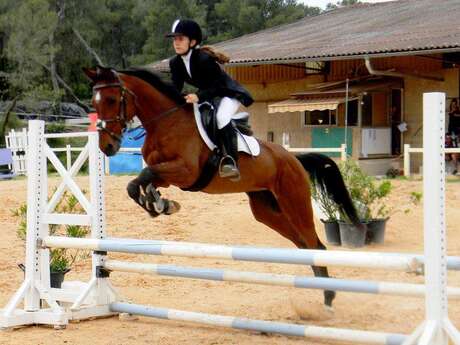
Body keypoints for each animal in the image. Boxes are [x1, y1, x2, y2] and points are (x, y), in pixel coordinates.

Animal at [83, 66, 362, 308]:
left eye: (111, 100)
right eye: (94, 103)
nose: (107, 146)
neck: (166, 122)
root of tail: (293, 159)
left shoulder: (185, 172)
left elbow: (144, 174)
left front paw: (160, 204)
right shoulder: (169, 175)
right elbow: (136, 183)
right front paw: (159, 204)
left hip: (294, 201)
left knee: (315, 246)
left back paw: (328, 299)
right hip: (267, 210)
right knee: (304, 245)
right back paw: (323, 294)